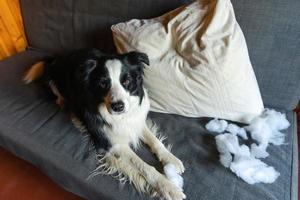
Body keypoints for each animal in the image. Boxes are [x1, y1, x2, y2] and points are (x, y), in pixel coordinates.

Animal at [24, 48, 185, 200]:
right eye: (103, 83)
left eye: (126, 81)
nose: (118, 106)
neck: (121, 117)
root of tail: (55, 58)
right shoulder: (112, 143)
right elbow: (143, 165)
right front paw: (168, 187)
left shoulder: (136, 121)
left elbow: (155, 141)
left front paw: (171, 159)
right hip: (52, 81)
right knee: (57, 95)